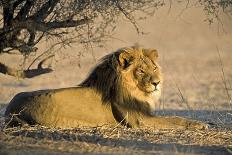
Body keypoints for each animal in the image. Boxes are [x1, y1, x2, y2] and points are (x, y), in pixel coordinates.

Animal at [4, 46, 208, 130]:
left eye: (155, 68)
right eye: (141, 71)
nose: (157, 82)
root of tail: (10, 109)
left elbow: (174, 118)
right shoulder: (140, 120)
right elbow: (174, 119)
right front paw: (200, 124)